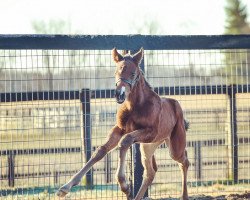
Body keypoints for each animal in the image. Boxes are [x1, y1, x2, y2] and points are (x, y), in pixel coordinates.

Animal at [57, 47, 189, 199]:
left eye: (133, 73)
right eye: (116, 72)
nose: (119, 94)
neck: (135, 106)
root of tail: (177, 105)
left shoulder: (150, 132)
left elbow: (125, 141)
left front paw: (124, 186)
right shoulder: (119, 129)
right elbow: (101, 151)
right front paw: (65, 187)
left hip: (173, 147)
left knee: (184, 161)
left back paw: (184, 196)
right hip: (148, 146)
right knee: (150, 172)